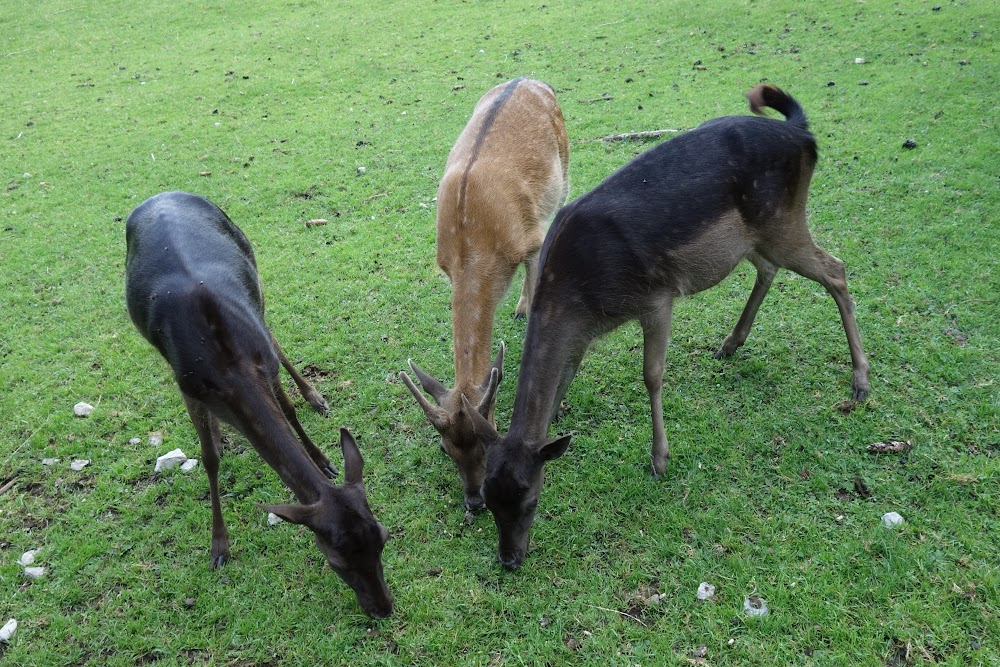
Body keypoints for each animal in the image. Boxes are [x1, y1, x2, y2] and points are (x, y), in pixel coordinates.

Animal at [123, 190, 392, 620]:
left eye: (382, 537)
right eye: (337, 561)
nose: (383, 608)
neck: (226, 368)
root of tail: (161, 194)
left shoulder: (262, 360)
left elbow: (288, 408)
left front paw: (322, 458)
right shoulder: (188, 386)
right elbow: (209, 458)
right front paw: (219, 545)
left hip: (255, 274)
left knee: (276, 336)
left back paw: (316, 398)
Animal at [400, 78, 572, 512]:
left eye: (487, 442)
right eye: (445, 448)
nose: (474, 501)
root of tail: (530, 79)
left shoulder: (531, 240)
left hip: (564, 171)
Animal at [466, 85, 868, 568]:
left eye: (530, 499)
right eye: (490, 497)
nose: (510, 559)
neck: (578, 298)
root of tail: (802, 133)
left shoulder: (656, 296)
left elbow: (652, 375)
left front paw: (660, 459)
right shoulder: (583, 333)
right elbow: (566, 376)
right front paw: (558, 415)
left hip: (783, 220)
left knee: (836, 270)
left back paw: (860, 379)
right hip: (756, 237)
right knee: (769, 269)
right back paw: (731, 343)